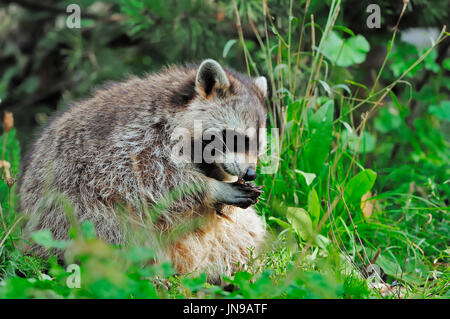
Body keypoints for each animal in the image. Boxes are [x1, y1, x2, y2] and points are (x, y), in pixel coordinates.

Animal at [18, 58, 268, 284]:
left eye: (259, 143)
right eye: (236, 138)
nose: (250, 174)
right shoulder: (134, 141)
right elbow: (148, 182)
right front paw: (212, 188)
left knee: (245, 231)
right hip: (64, 218)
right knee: (113, 228)